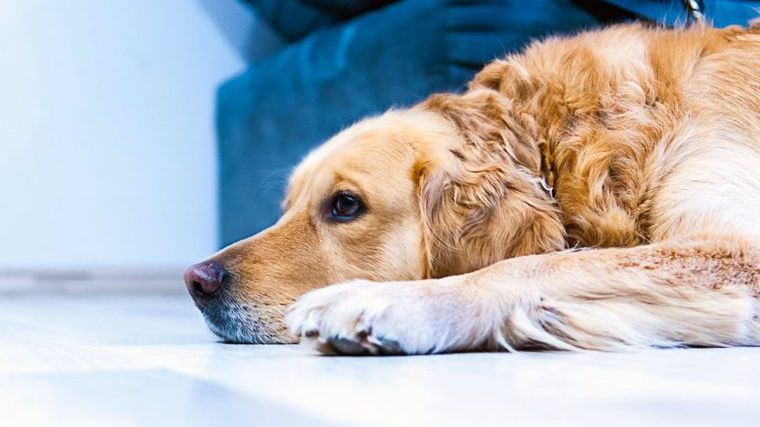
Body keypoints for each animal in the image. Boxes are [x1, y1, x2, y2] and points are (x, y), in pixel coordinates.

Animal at [186, 20, 760, 354]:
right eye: (286, 207)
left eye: (345, 205)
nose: (197, 281)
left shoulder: (739, 250)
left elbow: (534, 264)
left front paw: (388, 303)